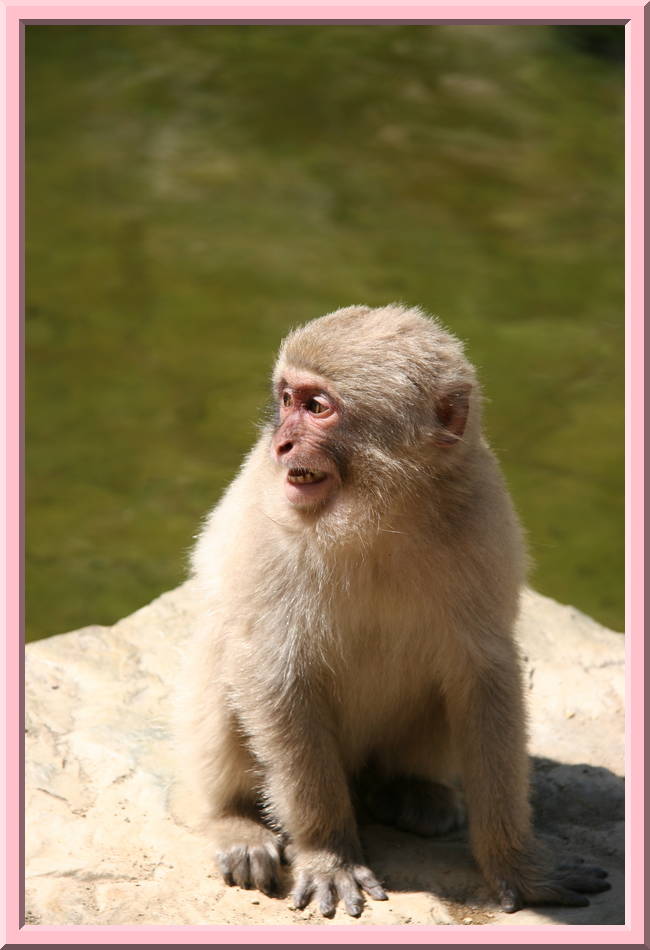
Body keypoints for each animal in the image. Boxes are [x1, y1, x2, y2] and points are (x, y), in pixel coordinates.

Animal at [180, 303, 610, 918]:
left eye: (317, 407)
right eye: (286, 399)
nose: (281, 444)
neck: (381, 512)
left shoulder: (485, 515)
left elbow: (486, 672)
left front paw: (517, 864)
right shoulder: (269, 525)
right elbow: (272, 671)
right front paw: (328, 853)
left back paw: (409, 788)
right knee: (224, 649)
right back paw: (235, 820)